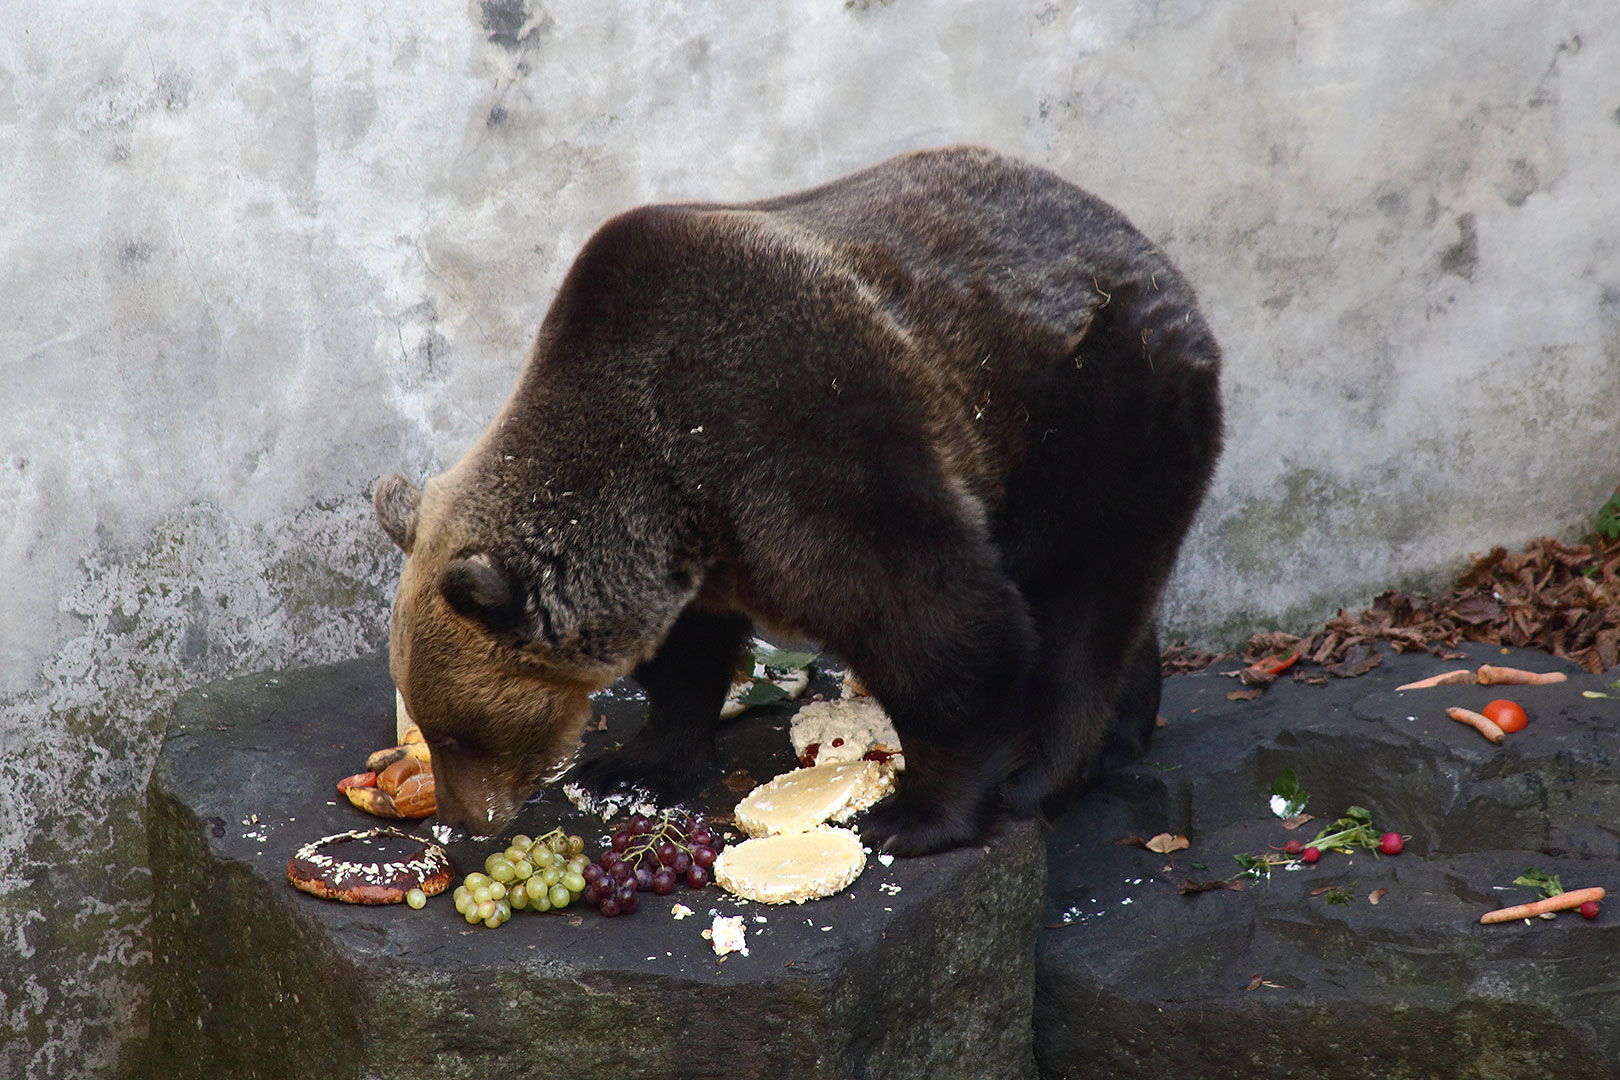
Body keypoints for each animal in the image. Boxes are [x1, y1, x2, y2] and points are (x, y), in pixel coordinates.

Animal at [375, 145, 1218, 854]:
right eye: (428, 722)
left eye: (457, 733)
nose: (463, 818)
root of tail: (1152, 253)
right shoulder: (699, 558)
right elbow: (685, 662)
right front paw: (631, 769)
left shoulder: (801, 438)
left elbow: (939, 625)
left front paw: (920, 815)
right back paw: (1124, 733)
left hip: (1096, 411)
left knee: (1082, 603)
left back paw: (1042, 774)